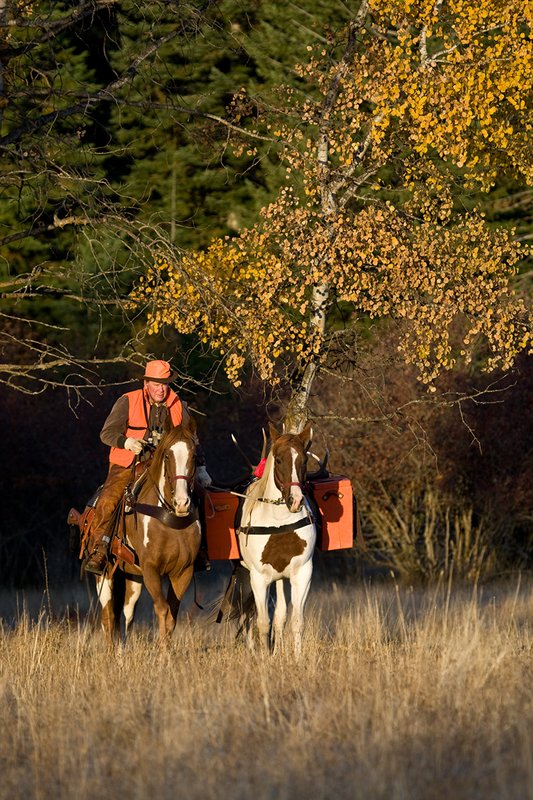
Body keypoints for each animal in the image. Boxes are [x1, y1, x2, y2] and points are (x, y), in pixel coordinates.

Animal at [93, 420, 201, 643]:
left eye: (194, 456)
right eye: (167, 455)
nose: (182, 503)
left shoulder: (183, 571)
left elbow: (172, 616)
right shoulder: (151, 568)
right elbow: (162, 608)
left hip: (132, 578)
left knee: (127, 614)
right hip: (105, 576)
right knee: (108, 617)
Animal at [237, 421, 316, 656]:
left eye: (304, 460)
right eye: (279, 459)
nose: (296, 500)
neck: (280, 523)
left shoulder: (303, 572)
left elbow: (296, 621)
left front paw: (296, 659)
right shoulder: (258, 577)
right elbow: (262, 623)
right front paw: (264, 658)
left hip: (280, 577)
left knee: (280, 614)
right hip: (244, 575)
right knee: (246, 616)